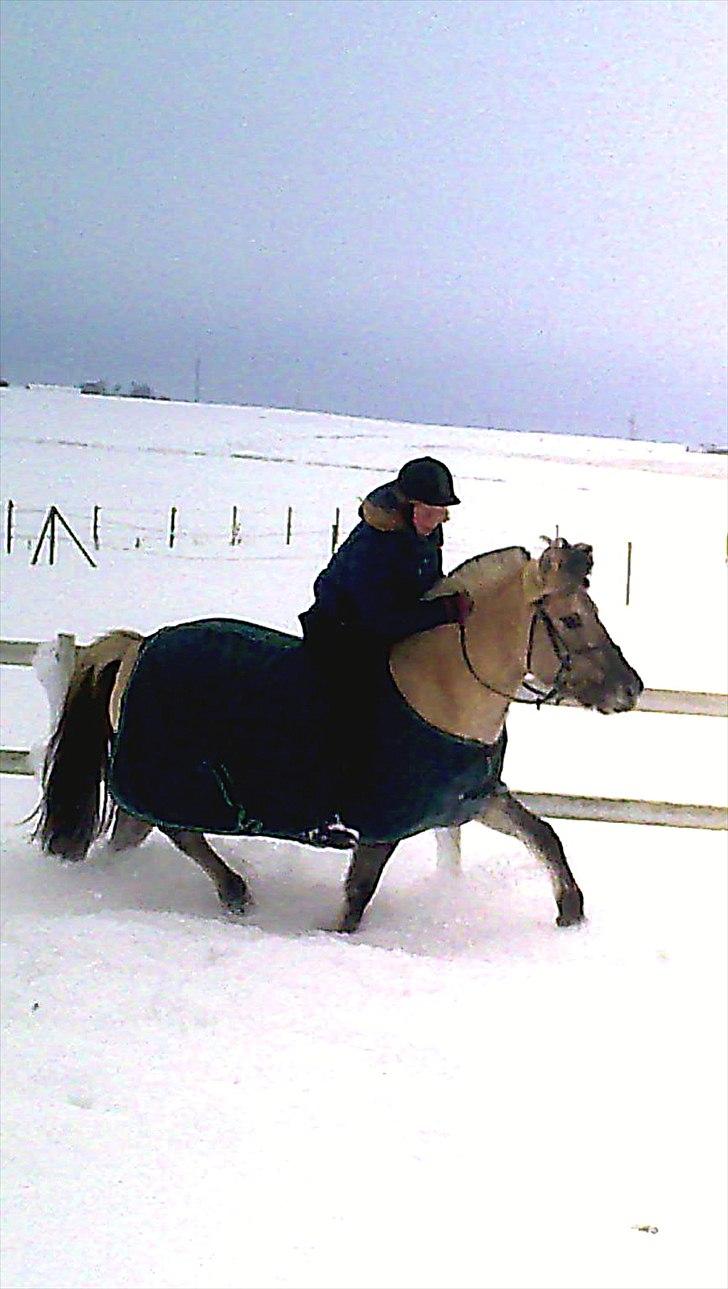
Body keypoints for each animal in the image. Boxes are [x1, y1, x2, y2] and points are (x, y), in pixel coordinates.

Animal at [32, 538, 641, 933]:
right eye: (571, 620)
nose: (630, 689)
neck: (440, 691)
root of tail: (138, 646)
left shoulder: (472, 799)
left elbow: (544, 835)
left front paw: (570, 911)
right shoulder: (380, 826)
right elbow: (357, 897)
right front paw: (333, 935)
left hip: (156, 790)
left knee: (132, 841)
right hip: (170, 781)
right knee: (180, 835)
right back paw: (234, 894)